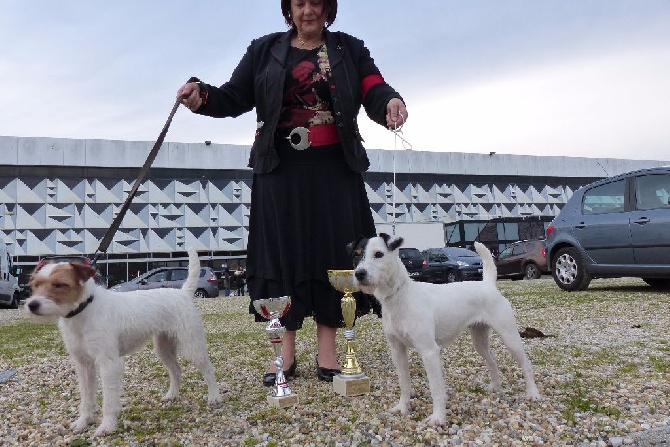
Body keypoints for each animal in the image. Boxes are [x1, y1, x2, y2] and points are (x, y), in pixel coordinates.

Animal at [25, 248, 223, 438]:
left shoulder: (109, 364)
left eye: (59, 285)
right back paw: (172, 395)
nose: (32, 305)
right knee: (176, 370)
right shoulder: (84, 365)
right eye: (36, 285)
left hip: (192, 347)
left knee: (208, 369)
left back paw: (214, 397)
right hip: (163, 348)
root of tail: (183, 292)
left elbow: (109, 401)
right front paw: (83, 422)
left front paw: (106, 426)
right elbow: (86, 399)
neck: (85, 310)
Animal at [350, 234, 544, 428]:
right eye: (356, 255)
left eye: (378, 254)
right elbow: (404, 384)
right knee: (492, 361)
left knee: (526, 365)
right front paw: (403, 408)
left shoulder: (429, 352)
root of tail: (488, 285)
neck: (399, 296)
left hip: (510, 338)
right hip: (479, 341)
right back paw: (495, 387)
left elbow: (436, 389)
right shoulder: (397, 350)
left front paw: (438, 418)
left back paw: (533, 394)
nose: (359, 274)